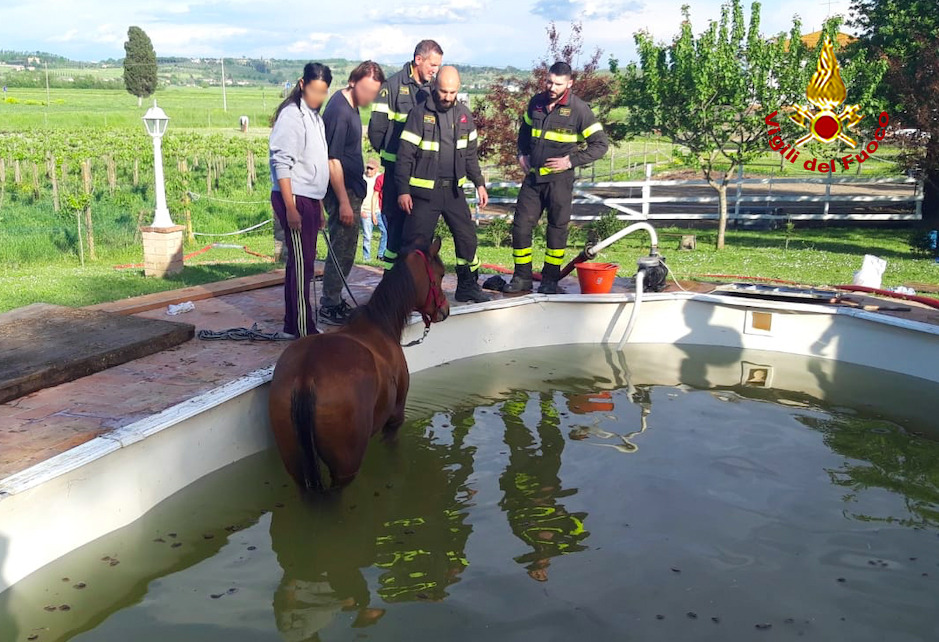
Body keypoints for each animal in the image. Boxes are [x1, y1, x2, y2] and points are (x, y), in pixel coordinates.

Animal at [268, 237, 449, 492]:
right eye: (441, 274)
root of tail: (306, 376)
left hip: (298, 468)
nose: (445, 310)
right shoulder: (394, 418)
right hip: (346, 467)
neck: (379, 323)